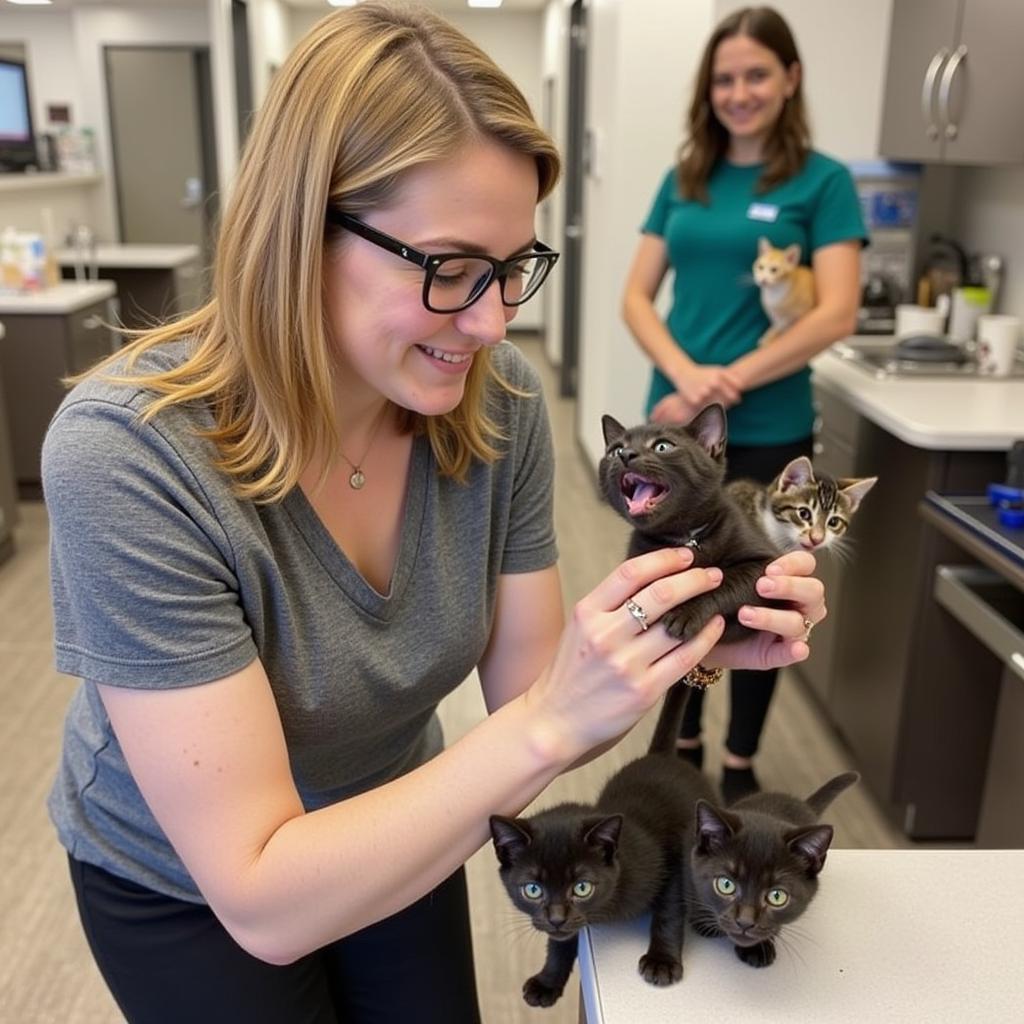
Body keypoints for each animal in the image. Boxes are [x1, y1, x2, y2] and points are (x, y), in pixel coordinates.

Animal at [491, 679, 716, 1007]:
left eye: (582, 887)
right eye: (532, 889)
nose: (556, 918)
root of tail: (662, 756)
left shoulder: (673, 863)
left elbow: (668, 913)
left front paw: (661, 961)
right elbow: (560, 944)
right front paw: (547, 981)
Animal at [598, 405, 778, 638]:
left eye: (662, 446)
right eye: (616, 450)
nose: (625, 455)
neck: (685, 536)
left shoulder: (766, 564)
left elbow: (725, 580)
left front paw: (685, 611)